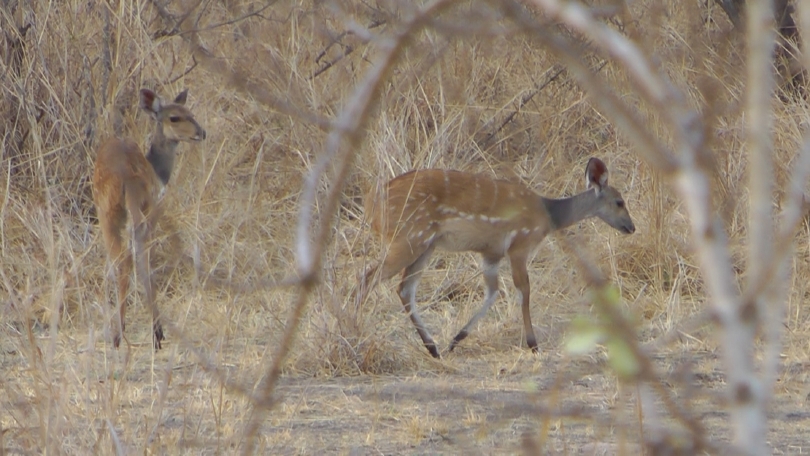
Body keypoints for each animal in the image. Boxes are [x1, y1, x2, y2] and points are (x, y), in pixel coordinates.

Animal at [92, 88, 206, 350]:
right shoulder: (154, 207)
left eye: (191, 113)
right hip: (139, 210)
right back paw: (139, 333)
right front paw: (157, 332)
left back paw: (117, 333)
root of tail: (124, 177)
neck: (157, 170)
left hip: (108, 214)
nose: (201, 133)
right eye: (174, 117)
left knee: (119, 259)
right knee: (133, 258)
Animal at [358, 158, 635, 358]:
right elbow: (523, 290)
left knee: (404, 289)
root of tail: (373, 204)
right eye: (619, 201)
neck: (548, 214)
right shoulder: (519, 247)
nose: (631, 227)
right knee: (369, 276)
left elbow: (493, 292)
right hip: (410, 239)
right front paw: (533, 345)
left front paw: (454, 341)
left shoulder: (491, 254)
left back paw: (433, 348)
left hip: (425, 246)